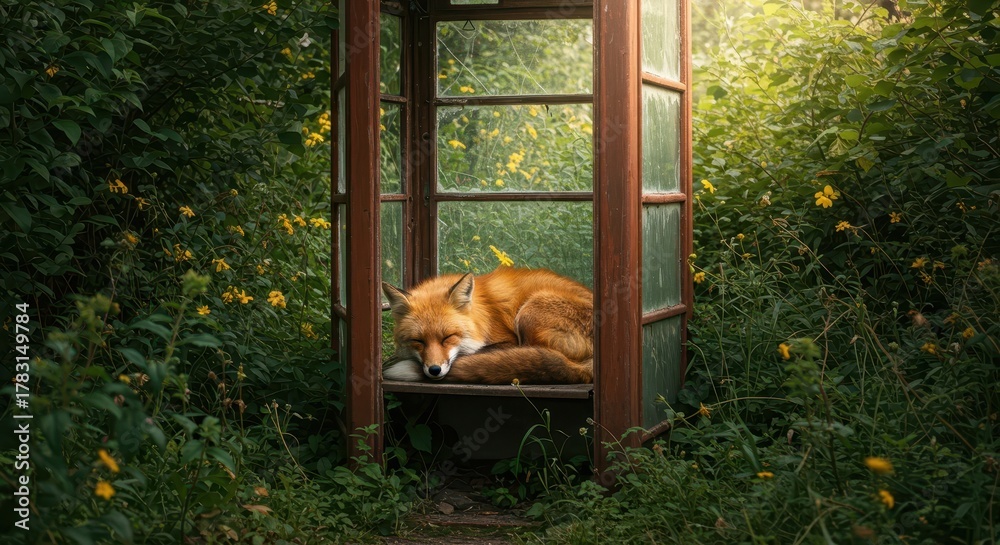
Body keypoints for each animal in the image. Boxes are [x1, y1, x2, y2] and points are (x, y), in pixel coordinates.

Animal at [381, 267, 593, 384]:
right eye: (418, 341)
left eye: (448, 337)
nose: (434, 370)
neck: (481, 314)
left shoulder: (509, 341)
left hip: (530, 311)